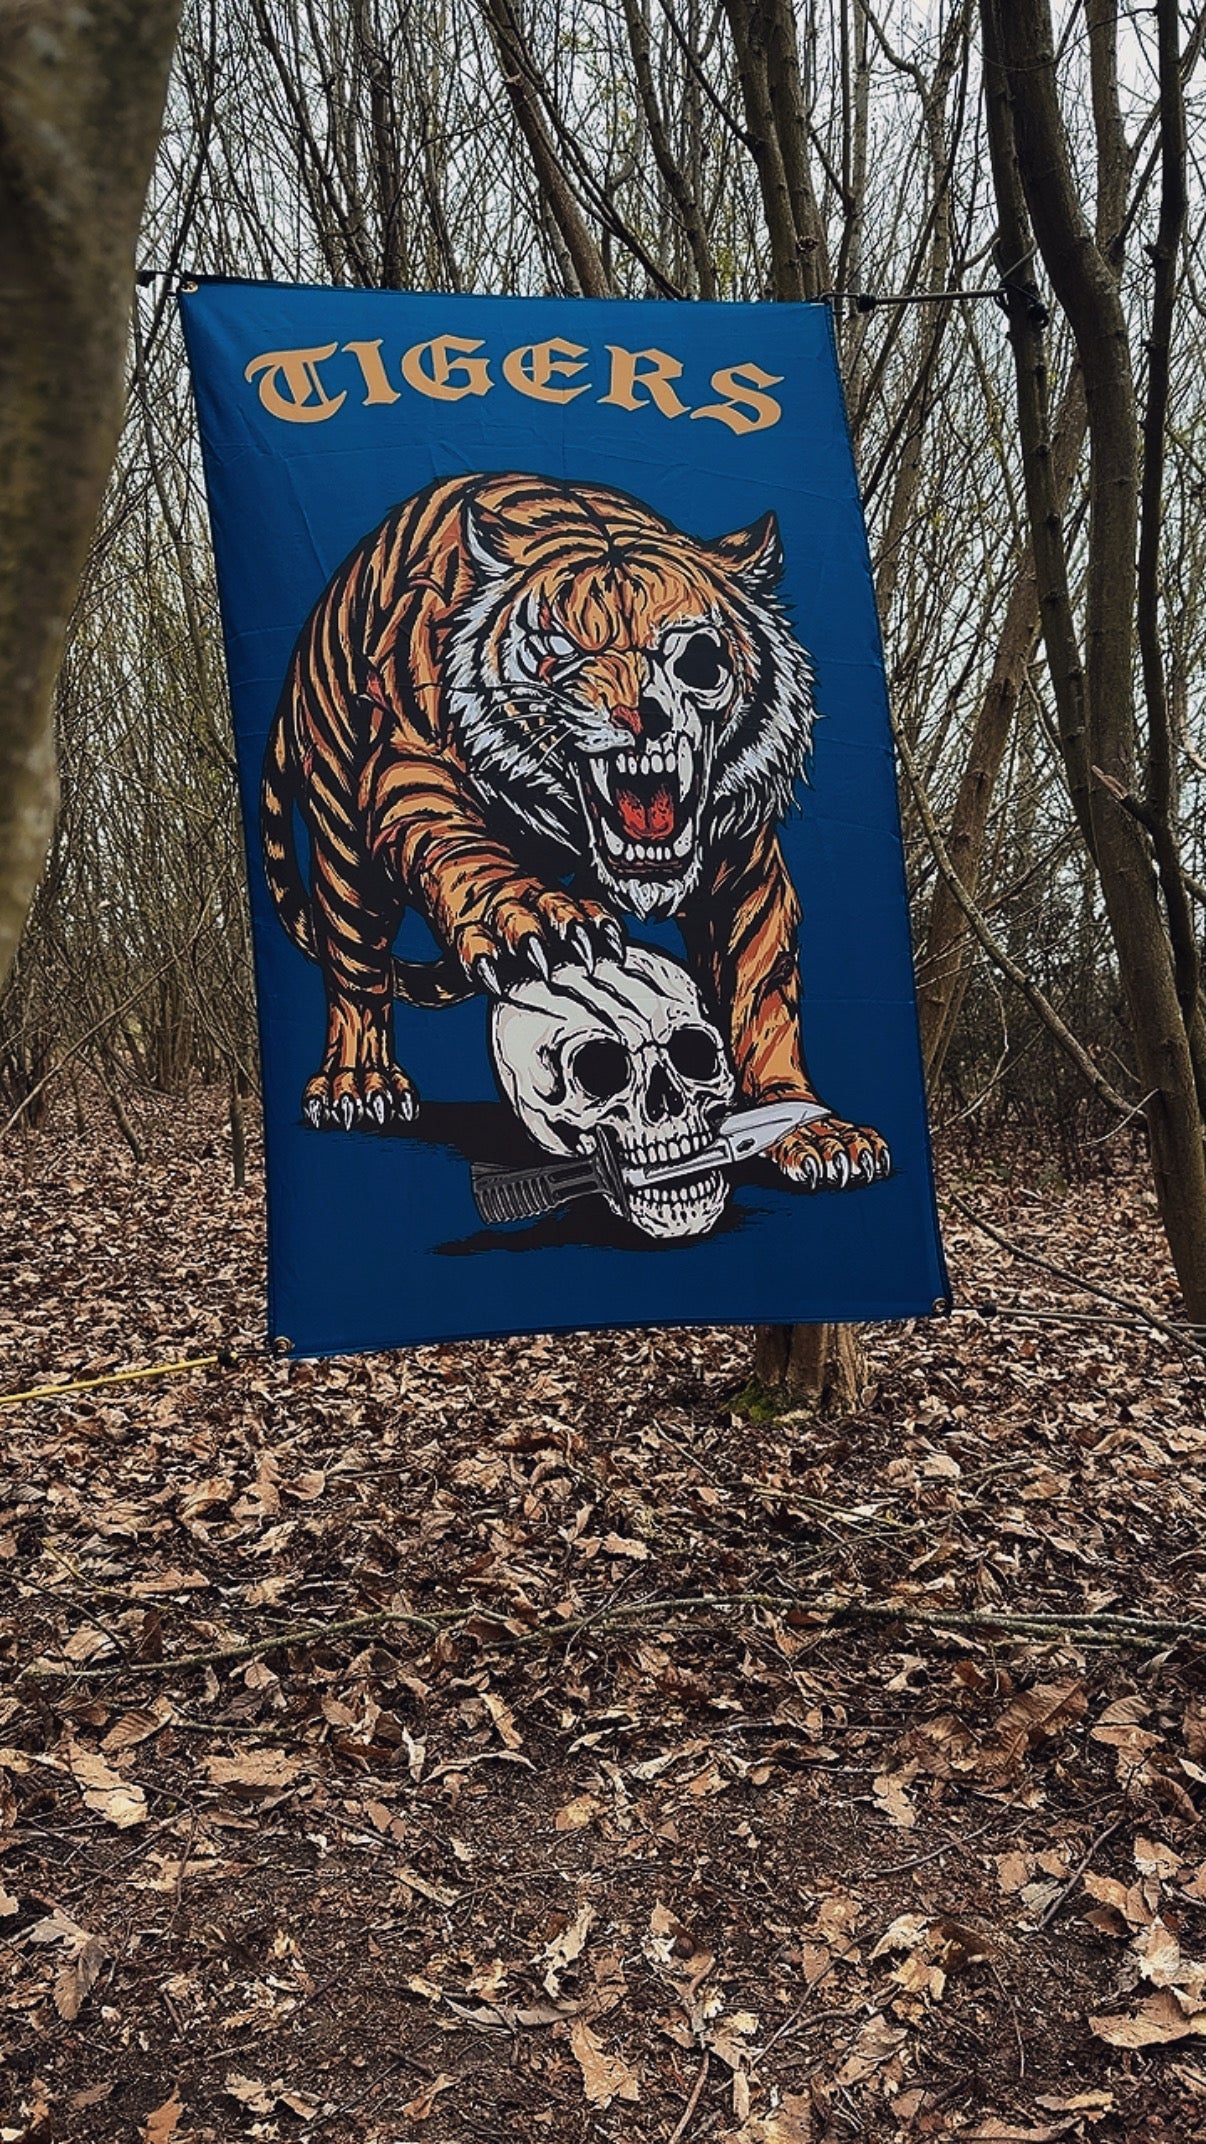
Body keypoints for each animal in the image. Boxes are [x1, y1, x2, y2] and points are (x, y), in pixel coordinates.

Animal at [261, 471, 889, 1192]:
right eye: (558, 652)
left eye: (698, 659)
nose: (640, 715)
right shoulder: (409, 770)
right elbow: (472, 860)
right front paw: (543, 921)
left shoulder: (741, 861)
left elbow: (758, 990)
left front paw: (808, 1126)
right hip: (342, 835)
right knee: (355, 963)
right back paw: (357, 1083)